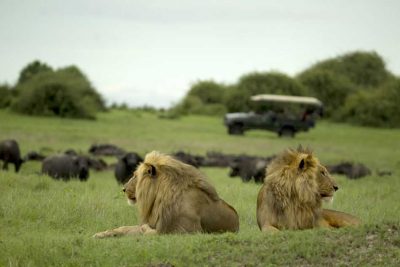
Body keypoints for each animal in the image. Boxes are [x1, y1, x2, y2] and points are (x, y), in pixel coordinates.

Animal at [94, 151, 238, 239]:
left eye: (135, 176)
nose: (123, 189)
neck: (160, 197)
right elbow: (124, 228)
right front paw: (100, 234)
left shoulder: (189, 231)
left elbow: (152, 232)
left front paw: (144, 228)